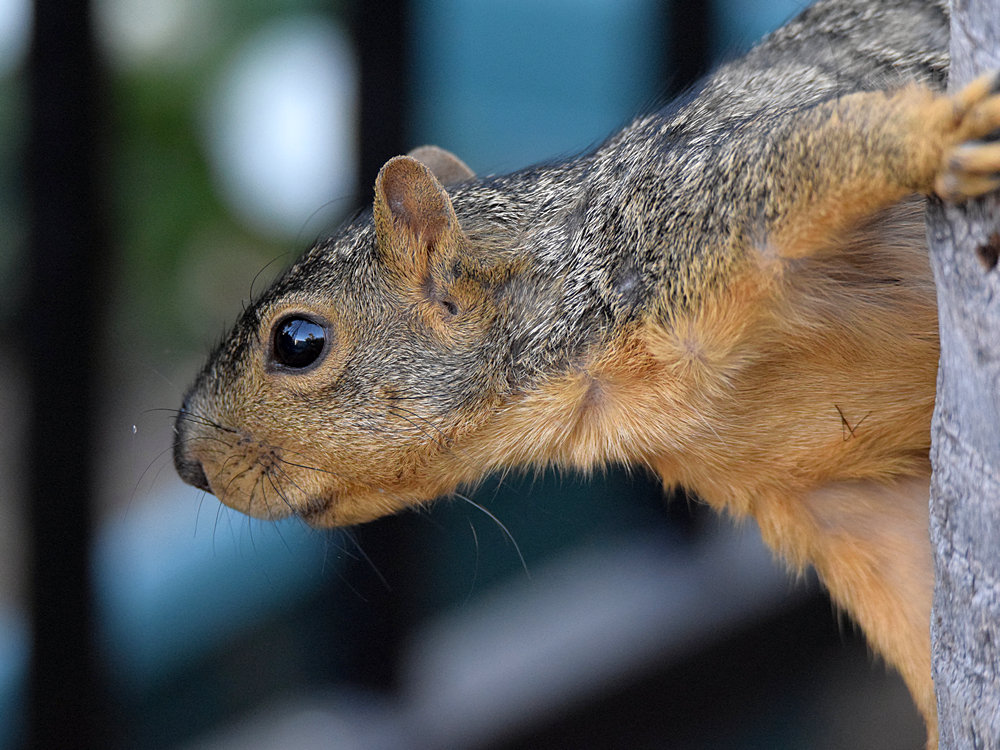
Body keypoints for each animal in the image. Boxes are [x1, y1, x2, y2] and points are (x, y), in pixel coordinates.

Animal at [173, 0, 1000, 745]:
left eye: (298, 342)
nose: (187, 464)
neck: (600, 388)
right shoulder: (840, 502)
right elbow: (916, 610)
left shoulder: (695, 215)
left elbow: (821, 148)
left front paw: (938, 134)